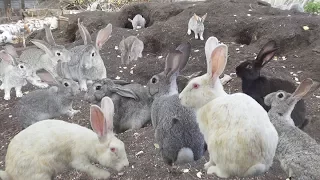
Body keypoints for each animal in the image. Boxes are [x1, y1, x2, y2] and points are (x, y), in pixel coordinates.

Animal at [0, 96, 130, 179]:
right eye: (113, 149)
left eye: (123, 145)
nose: (126, 165)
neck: (93, 144)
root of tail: (9, 171)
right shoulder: (79, 158)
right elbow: (88, 168)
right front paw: (105, 175)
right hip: (39, 175)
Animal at [179, 36, 278, 177]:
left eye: (196, 86)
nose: (180, 98)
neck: (212, 99)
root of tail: (257, 165)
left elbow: (210, 159)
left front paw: (206, 165)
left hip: (217, 147)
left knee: (223, 172)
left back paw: (211, 170)